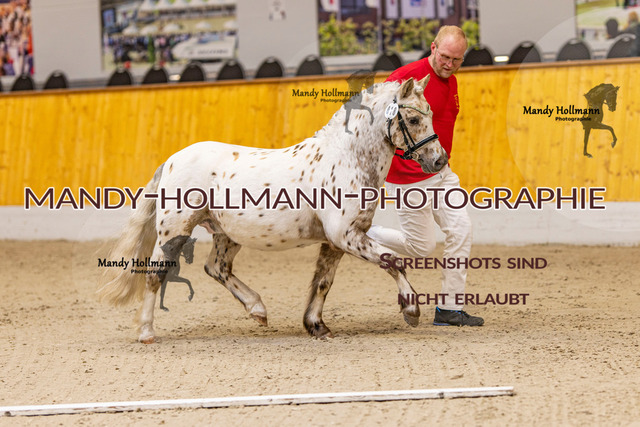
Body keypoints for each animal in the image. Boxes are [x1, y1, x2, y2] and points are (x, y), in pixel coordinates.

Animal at [97, 76, 448, 343]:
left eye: (430, 113)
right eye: (413, 119)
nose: (439, 160)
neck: (346, 158)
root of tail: (171, 160)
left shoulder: (337, 240)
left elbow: (323, 281)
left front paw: (316, 326)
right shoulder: (345, 235)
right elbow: (392, 261)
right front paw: (411, 310)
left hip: (225, 234)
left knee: (216, 268)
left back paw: (258, 310)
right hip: (175, 230)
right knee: (156, 274)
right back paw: (146, 332)